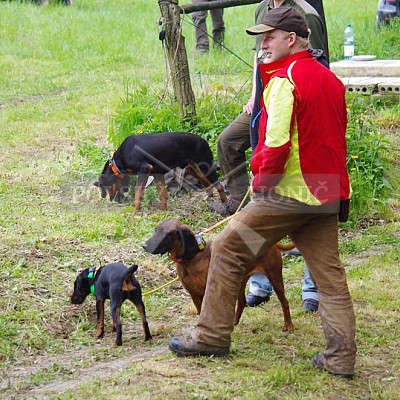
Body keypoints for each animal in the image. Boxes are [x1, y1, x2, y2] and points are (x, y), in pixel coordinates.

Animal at [92, 132, 227, 212]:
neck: (117, 160)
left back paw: (224, 204)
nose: (112, 200)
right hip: (193, 169)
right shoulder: (157, 174)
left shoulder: (145, 168)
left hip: (205, 167)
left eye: (105, 187)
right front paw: (162, 208)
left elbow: (138, 191)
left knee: (219, 186)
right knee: (207, 183)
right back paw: (209, 197)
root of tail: (204, 140)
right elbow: (162, 193)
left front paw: (135, 209)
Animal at [141, 219, 294, 332]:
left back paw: (288, 325)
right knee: (242, 302)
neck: (192, 258)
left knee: (285, 302)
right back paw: (233, 323)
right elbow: (200, 312)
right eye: (155, 230)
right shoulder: (193, 294)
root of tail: (273, 243)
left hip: (275, 277)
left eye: (165, 233)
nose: (144, 245)